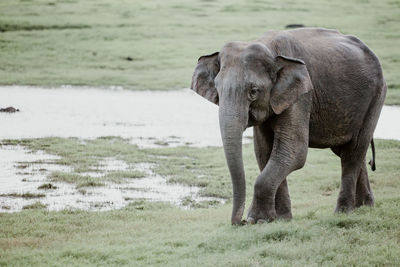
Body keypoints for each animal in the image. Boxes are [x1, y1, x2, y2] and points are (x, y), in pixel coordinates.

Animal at [192, 27, 386, 225]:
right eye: (218, 89)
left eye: (253, 91)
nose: (240, 222)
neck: (268, 47)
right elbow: (264, 152)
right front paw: (280, 219)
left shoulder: (302, 94)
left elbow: (294, 151)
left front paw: (257, 220)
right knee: (349, 151)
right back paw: (364, 208)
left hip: (376, 96)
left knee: (353, 151)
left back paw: (343, 212)